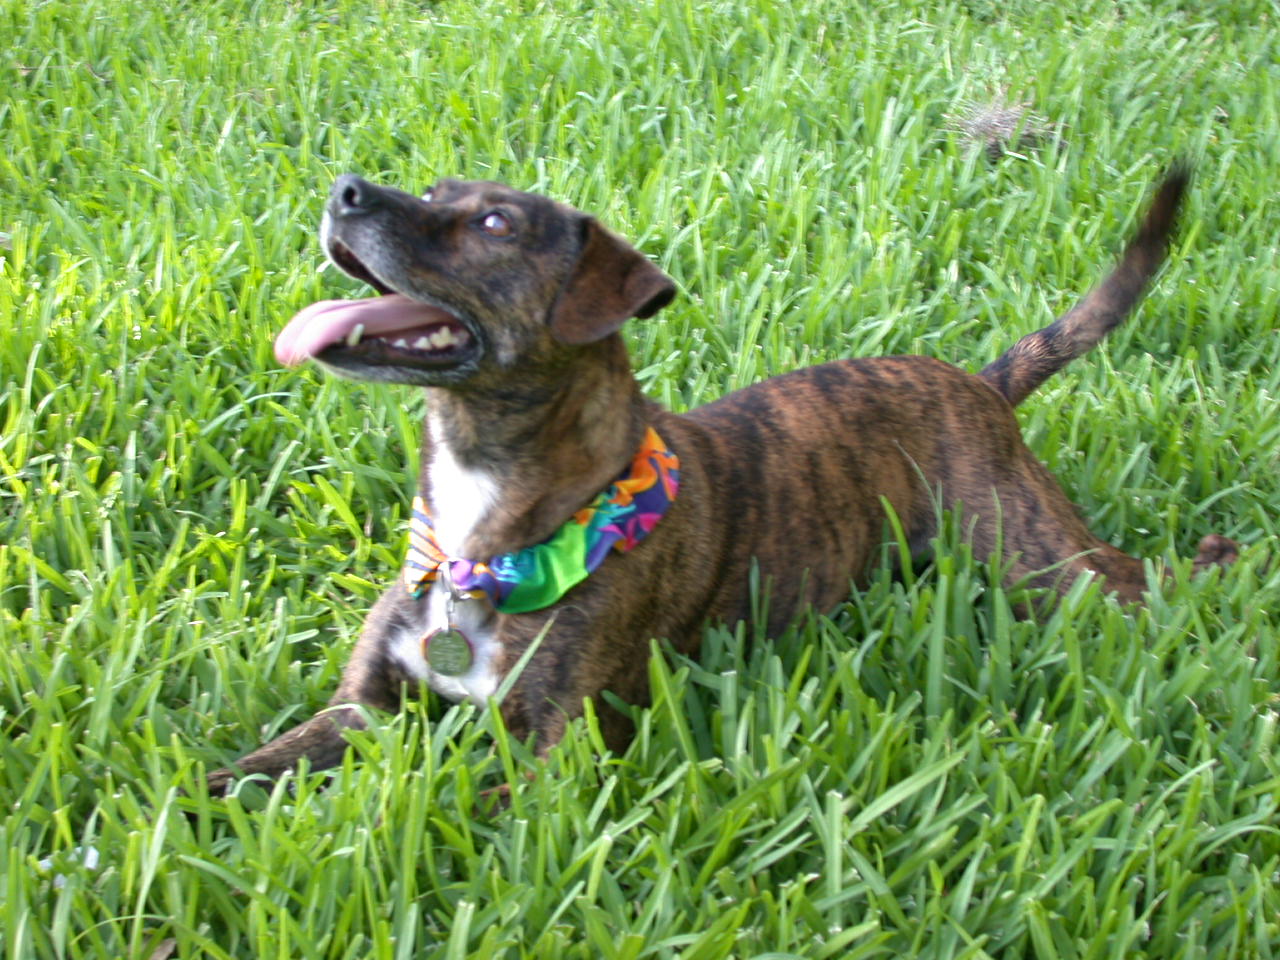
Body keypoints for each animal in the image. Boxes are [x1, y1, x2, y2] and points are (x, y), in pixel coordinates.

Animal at [204, 168, 1233, 793]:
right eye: (431, 191)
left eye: (494, 223)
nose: (344, 188)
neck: (487, 530)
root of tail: (978, 383)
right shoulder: (362, 709)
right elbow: (250, 769)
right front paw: (183, 806)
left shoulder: (562, 753)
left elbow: (479, 817)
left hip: (1041, 562)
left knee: (1133, 577)